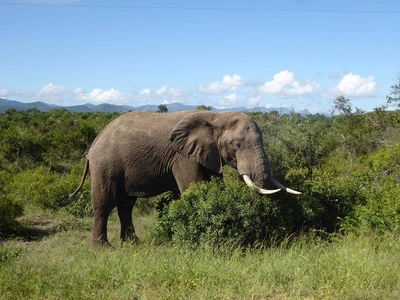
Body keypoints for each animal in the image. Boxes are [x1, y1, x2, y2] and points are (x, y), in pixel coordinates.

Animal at [68, 110, 300, 248]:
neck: (216, 117)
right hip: (105, 165)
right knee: (104, 205)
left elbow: (214, 184)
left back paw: (134, 244)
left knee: (126, 206)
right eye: (236, 145)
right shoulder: (183, 156)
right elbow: (193, 187)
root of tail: (95, 142)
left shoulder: (209, 153)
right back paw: (103, 248)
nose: (261, 241)